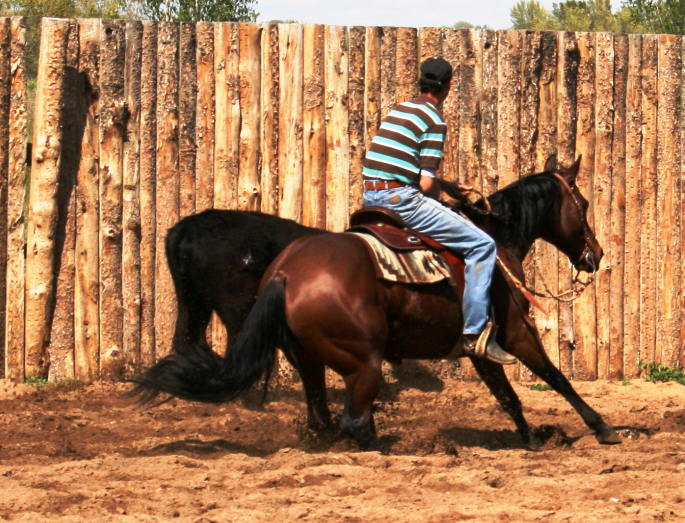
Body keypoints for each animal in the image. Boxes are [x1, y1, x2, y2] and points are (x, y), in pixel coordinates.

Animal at [131, 157, 622, 449]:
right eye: (582, 203)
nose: (595, 255)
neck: (496, 240)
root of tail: (285, 273)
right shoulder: (516, 332)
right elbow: (555, 377)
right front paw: (601, 427)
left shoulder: (479, 345)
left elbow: (507, 396)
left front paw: (532, 437)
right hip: (361, 360)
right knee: (353, 421)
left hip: (306, 358)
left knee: (322, 417)